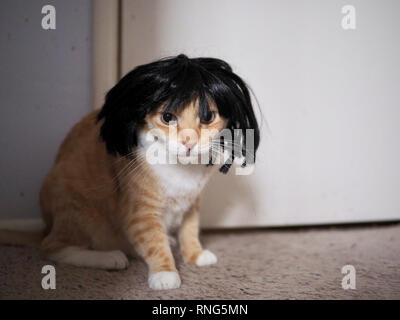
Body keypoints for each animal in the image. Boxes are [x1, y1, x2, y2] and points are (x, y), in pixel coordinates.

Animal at [0, 53, 260, 288]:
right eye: (168, 117)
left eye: (207, 117)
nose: (188, 141)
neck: (181, 172)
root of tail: (46, 226)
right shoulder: (141, 212)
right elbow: (154, 243)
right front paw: (165, 273)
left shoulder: (191, 204)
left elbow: (189, 230)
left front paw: (195, 253)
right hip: (74, 205)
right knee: (53, 248)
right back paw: (109, 258)